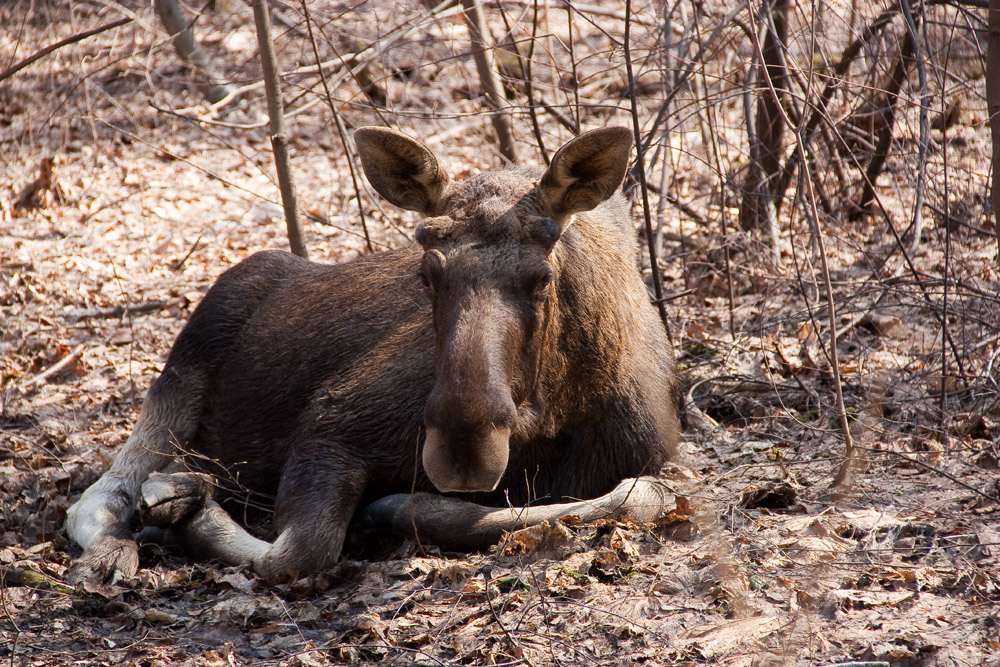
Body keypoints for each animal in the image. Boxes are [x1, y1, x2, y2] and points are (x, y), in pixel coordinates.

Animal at [66, 125, 684, 584]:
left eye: (542, 278)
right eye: (427, 272)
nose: (463, 450)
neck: (557, 415)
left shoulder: (647, 459)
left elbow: (637, 496)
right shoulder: (331, 424)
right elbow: (300, 550)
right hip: (182, 370)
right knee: (99, 494)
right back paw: (123, 542)